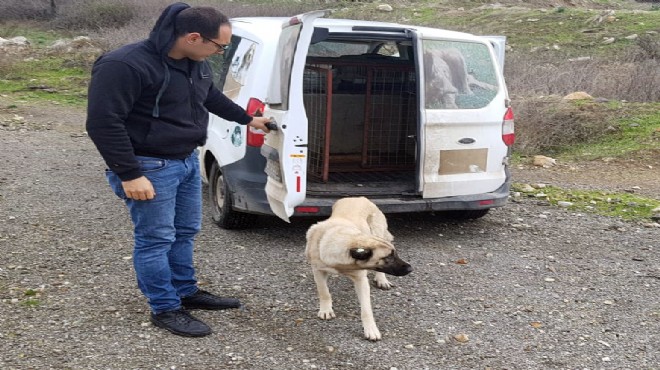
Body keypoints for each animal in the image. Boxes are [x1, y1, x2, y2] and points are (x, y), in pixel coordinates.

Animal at [306, 197, 412, 342]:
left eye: (394, 254)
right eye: (388, 257)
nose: (410, 268)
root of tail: (360, 198)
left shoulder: (361, 280)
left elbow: (366, 309)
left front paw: (371, 329)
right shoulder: (318, 271)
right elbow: (324, 292)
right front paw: (326, 309)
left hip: (377, 230)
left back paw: (382, 280)